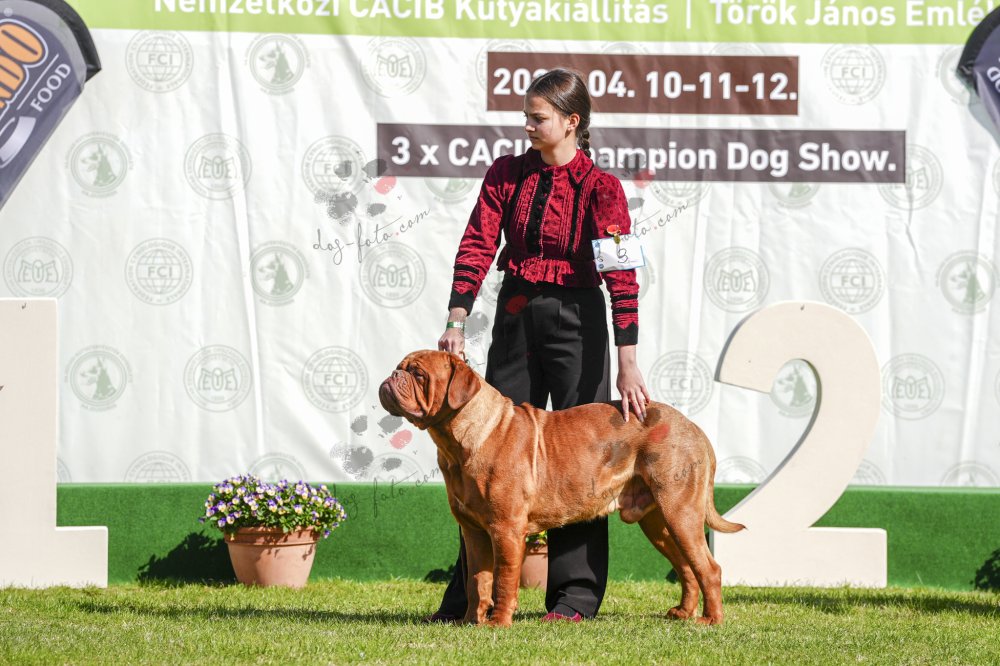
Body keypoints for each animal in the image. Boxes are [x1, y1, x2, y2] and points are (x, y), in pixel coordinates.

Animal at [378, 350, 744, 627]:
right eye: (401, 367)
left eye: (419, 374)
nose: (392, 376)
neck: (459, 442)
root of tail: (694, 427)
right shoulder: (473, 530)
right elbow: (476, 580)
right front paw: (471, 621)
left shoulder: (506, 528)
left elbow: (503, 579)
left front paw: (498, 623)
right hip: (657, 521)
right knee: (687, 567)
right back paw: (682, 613)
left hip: (680, 511)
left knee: (709, 568)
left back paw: (711, 620)